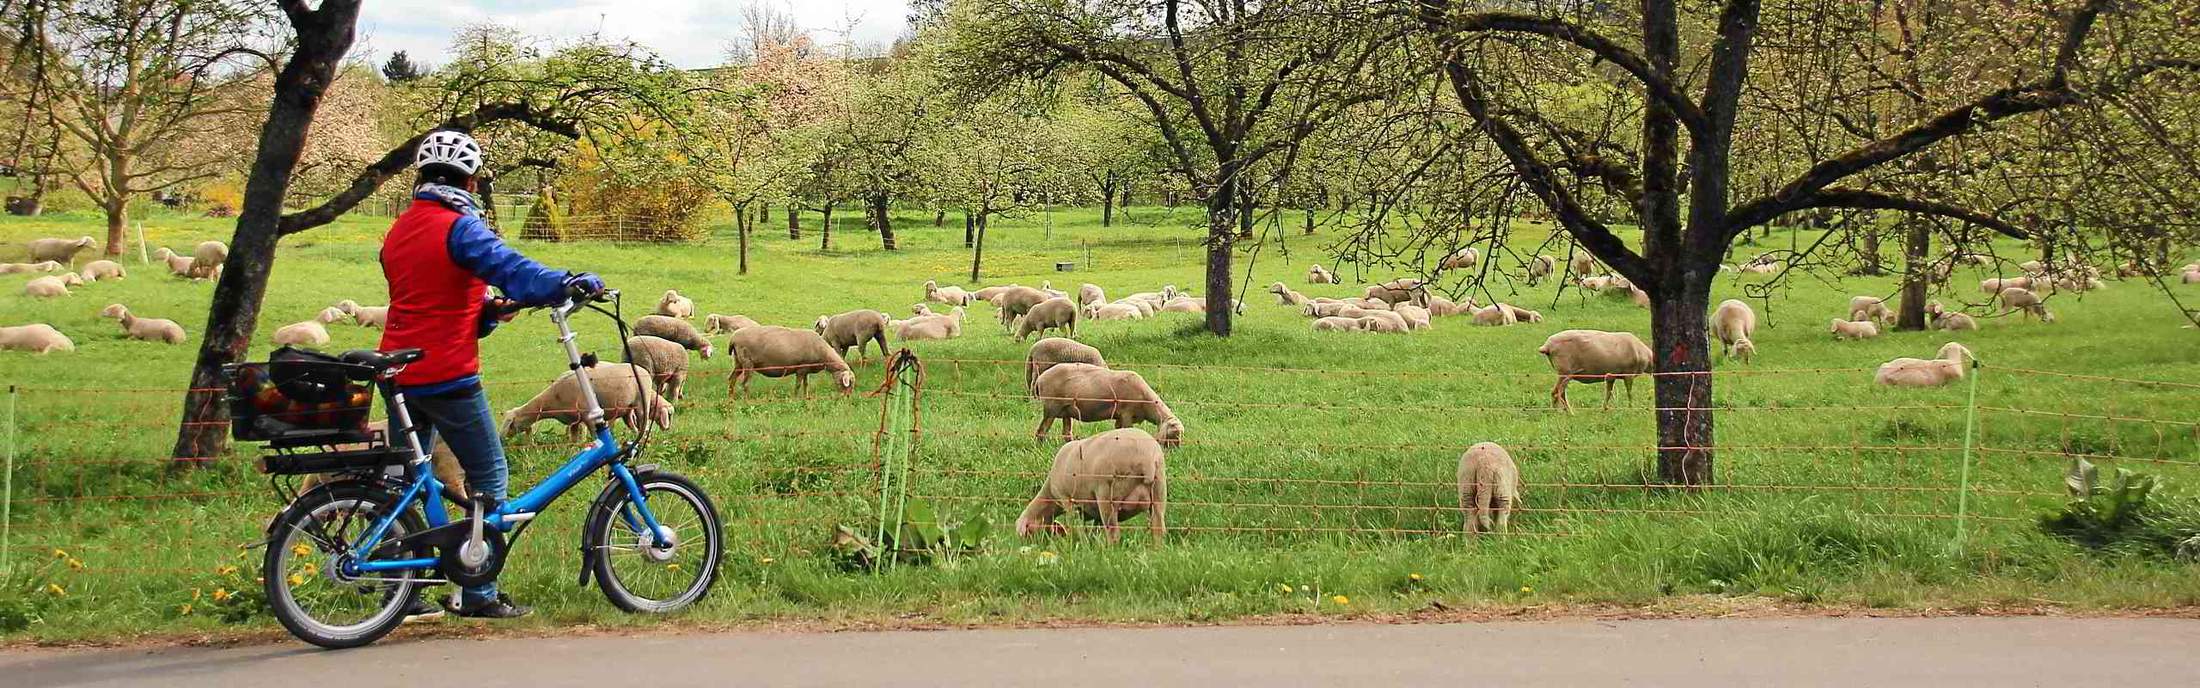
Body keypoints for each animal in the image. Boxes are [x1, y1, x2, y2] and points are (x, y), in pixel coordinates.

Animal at [502, 363, 674, 440]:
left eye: (510, 423)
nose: (503, 438)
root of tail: (643, 370)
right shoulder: (574, 420)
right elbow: (573, 438)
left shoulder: (588, 417)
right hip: (628, 407)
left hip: (641, 403)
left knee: (643, 424)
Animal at [726, 325, 855, 397]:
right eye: (849, 382)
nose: (847, 397)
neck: (824, 355)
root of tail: (733, 338)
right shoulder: (801, 368)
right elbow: (798, 385)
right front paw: (795, 398)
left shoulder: (806, 369)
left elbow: (806, 384)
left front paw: (805, 397)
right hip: (747, 363)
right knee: (745, 384)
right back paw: (746, 400)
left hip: (738, 362)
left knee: (732, 379)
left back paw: (731, 398)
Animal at [1015, 427, 1168, 542]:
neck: (1050, 496)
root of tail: (1146, 458)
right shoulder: (1092, 511)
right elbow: (1095, 528)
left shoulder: (1066, 499)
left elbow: (1075, 524)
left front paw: (1080, 544)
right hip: (1159, 491)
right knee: (1158, 528)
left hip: (1107, 494)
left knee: (1113, 533)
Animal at [1031, 363, 1184, 446]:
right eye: (1174, 434)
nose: (1174, 451)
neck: (1147, 404)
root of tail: (1040, 379)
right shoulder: (1127, 413)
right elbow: (1127, 430)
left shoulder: (1120, 416)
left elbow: (1117, 430)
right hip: (1051, 407)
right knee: (1042, 431)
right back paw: (1041, 446)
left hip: (1066, 410)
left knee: (1066, 432)